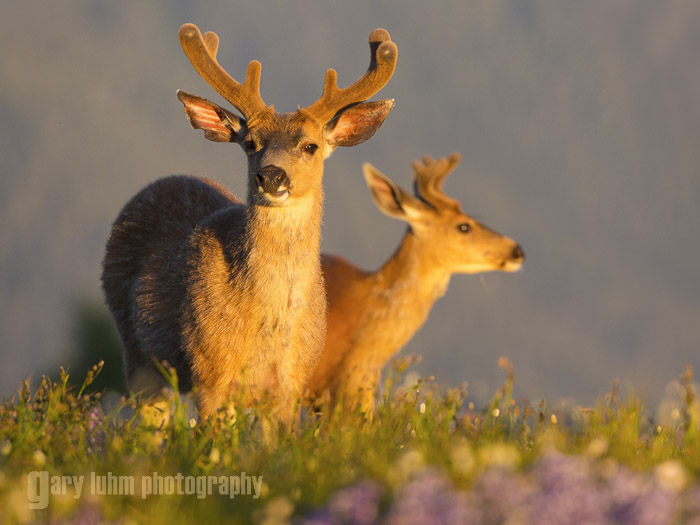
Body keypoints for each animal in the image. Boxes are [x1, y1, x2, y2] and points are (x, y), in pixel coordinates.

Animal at [102, 23, 400, 422]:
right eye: (250, 143)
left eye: (311, 146)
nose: (271, 175)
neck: (268, 326)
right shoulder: (209, 375)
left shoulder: (292, 383)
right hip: (139, 358)